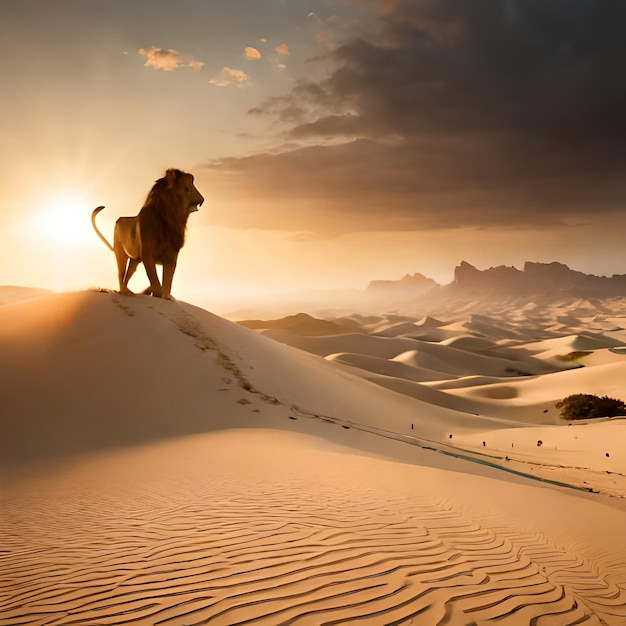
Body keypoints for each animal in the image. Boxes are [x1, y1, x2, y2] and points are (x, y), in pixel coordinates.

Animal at [91, 169, 202, 298]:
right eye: (188, 187)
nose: (202, 199)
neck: (170, 217)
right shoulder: (147, 255)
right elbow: (155, 280)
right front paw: (154, 291)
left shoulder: (171, 256)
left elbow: (167, 282)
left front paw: (164, 295)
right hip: (121, 252)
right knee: (121, 274)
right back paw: (126, 292)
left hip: (135, 259)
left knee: (128, 274)